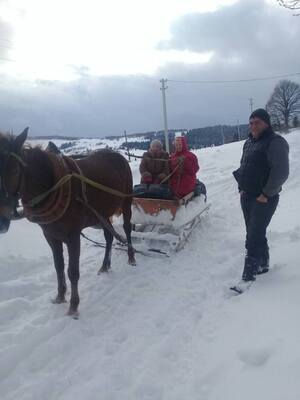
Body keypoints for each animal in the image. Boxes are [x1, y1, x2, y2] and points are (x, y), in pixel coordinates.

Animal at [0, 130, 136, 318]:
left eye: (14, 170)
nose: (2, 220)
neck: (52, 186)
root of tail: (119, 157)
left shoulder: (73, 236)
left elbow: (73, 271)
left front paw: (73, 305)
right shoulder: (50, 235)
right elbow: (58, 266)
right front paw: (60, 296)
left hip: (126, 202)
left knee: (127, 229)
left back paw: (131, 257)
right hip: (102, 213)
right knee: (109, 236)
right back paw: (104, 266)